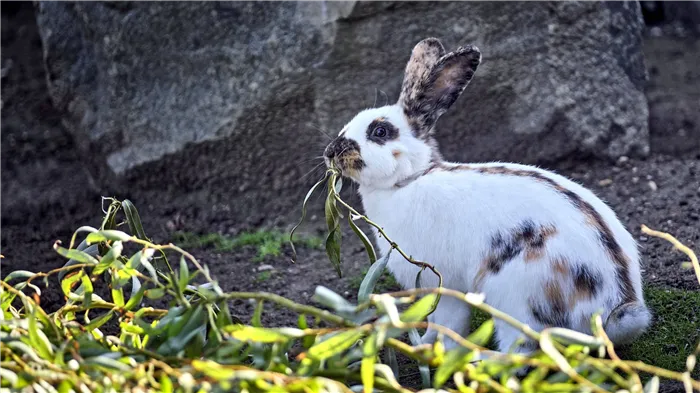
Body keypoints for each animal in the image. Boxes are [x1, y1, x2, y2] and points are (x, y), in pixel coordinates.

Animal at [322, 37, 652, 352]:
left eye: (379, 132)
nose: (330, 153)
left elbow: (448, 323)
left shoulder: (442, 283)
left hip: (514, 298)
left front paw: (432, 350)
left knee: (521, 350)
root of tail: (615, 308)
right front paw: (424, 343)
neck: (407, 180)